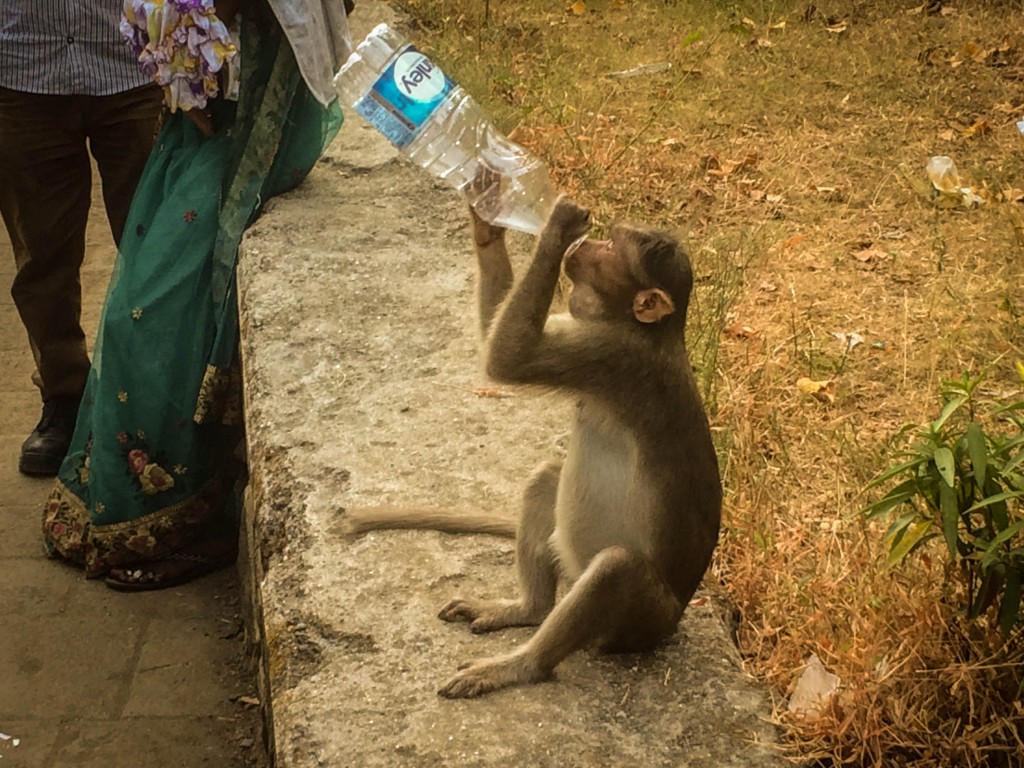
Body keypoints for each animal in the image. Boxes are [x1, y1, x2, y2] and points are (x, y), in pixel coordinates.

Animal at [344, 185, 720, 696]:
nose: (587, 244)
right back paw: (528, 610)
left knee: (616, 568)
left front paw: (555, 226)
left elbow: (510, 358)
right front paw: (487, 219)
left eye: (611, 248)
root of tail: (675, 619)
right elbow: (498, 335)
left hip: (642, 621)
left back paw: (521, 665)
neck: (648, 332)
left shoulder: (611, 356)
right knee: (547, 478)